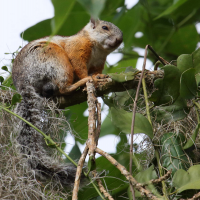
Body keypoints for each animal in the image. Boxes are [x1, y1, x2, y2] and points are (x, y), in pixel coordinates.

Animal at [11, 18, 123, 188]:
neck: (99, 50)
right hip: (57, 60)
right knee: (63, 87)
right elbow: (79, 66)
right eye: (105, 27)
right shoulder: (77, 48)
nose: (119, 40)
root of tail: (23, 82)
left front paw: (99, 76)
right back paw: (78, 84)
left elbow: (96, 71)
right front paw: (89, 78)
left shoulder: (98, 64)